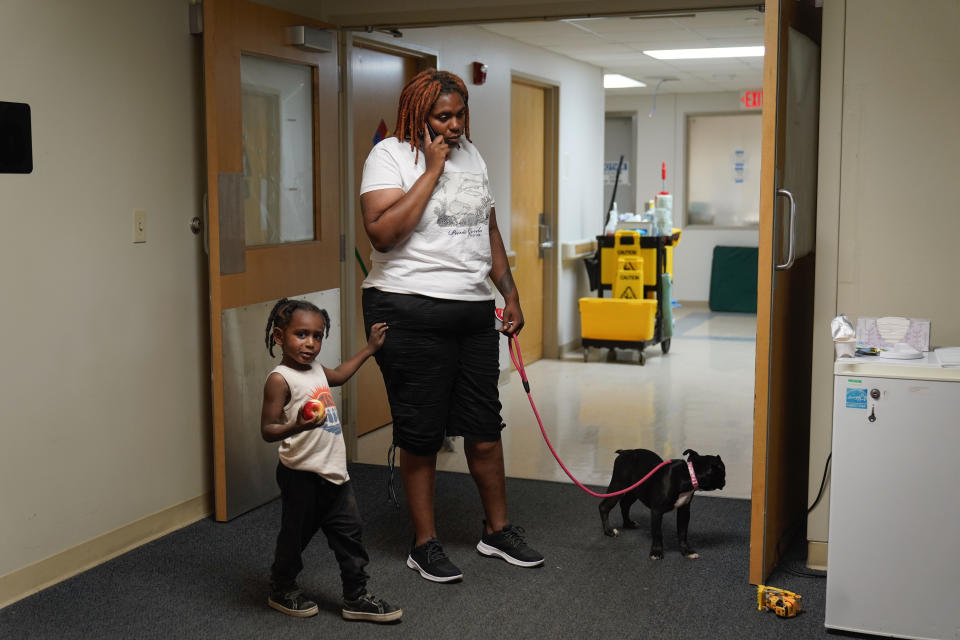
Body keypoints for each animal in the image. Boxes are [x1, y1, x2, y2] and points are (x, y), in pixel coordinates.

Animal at [596, 448, 724, 556]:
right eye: (723, 471)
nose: (724, 480)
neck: (687, 474)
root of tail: (624, 452)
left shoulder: (684, 510)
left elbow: (683, 532)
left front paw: (686, 551)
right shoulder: (657, 511)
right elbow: (657, 532)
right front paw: (656, 552)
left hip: (635, 491)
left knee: (625, 504)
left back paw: (628, 523)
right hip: (618, 486)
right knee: (604, 507)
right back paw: (609, 531)